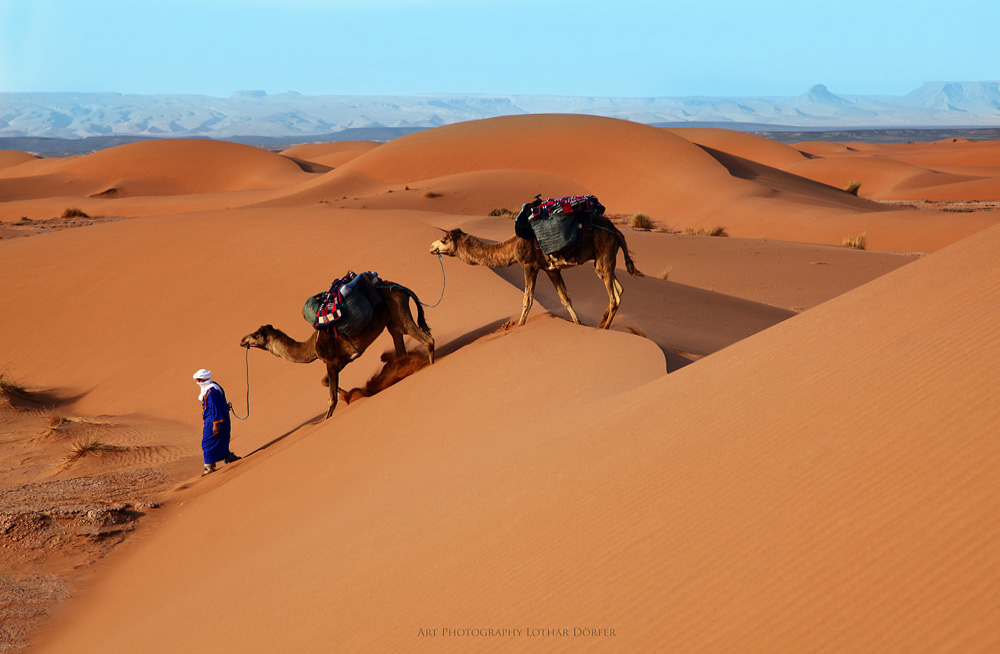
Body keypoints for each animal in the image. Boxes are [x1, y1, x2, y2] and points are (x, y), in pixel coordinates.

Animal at [241, 282, 434, 420]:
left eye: (256, 334)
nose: (243, 340)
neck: (311, 346)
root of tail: (398, 287)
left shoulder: (331, 361)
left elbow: (330, 397)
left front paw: (329, 416)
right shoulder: (344, 359)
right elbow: (325, 382)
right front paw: (350, 395)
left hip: (399, 309)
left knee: (425, 339)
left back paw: (431, 365)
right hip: (391, 321)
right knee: (400, 344)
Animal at [428, 219, 644, 330]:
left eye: (445, 240)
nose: (431, 246)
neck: (513, 246)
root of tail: (616, 231)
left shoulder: (529, 265)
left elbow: (528, 300)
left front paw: (520, 326)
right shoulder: (551, 269)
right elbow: (565, 298)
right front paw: (578, 323)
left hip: (604, 255)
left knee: (614, 297)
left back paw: (604, 327)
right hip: (603, 261)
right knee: (619, 289)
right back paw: (602, 322)